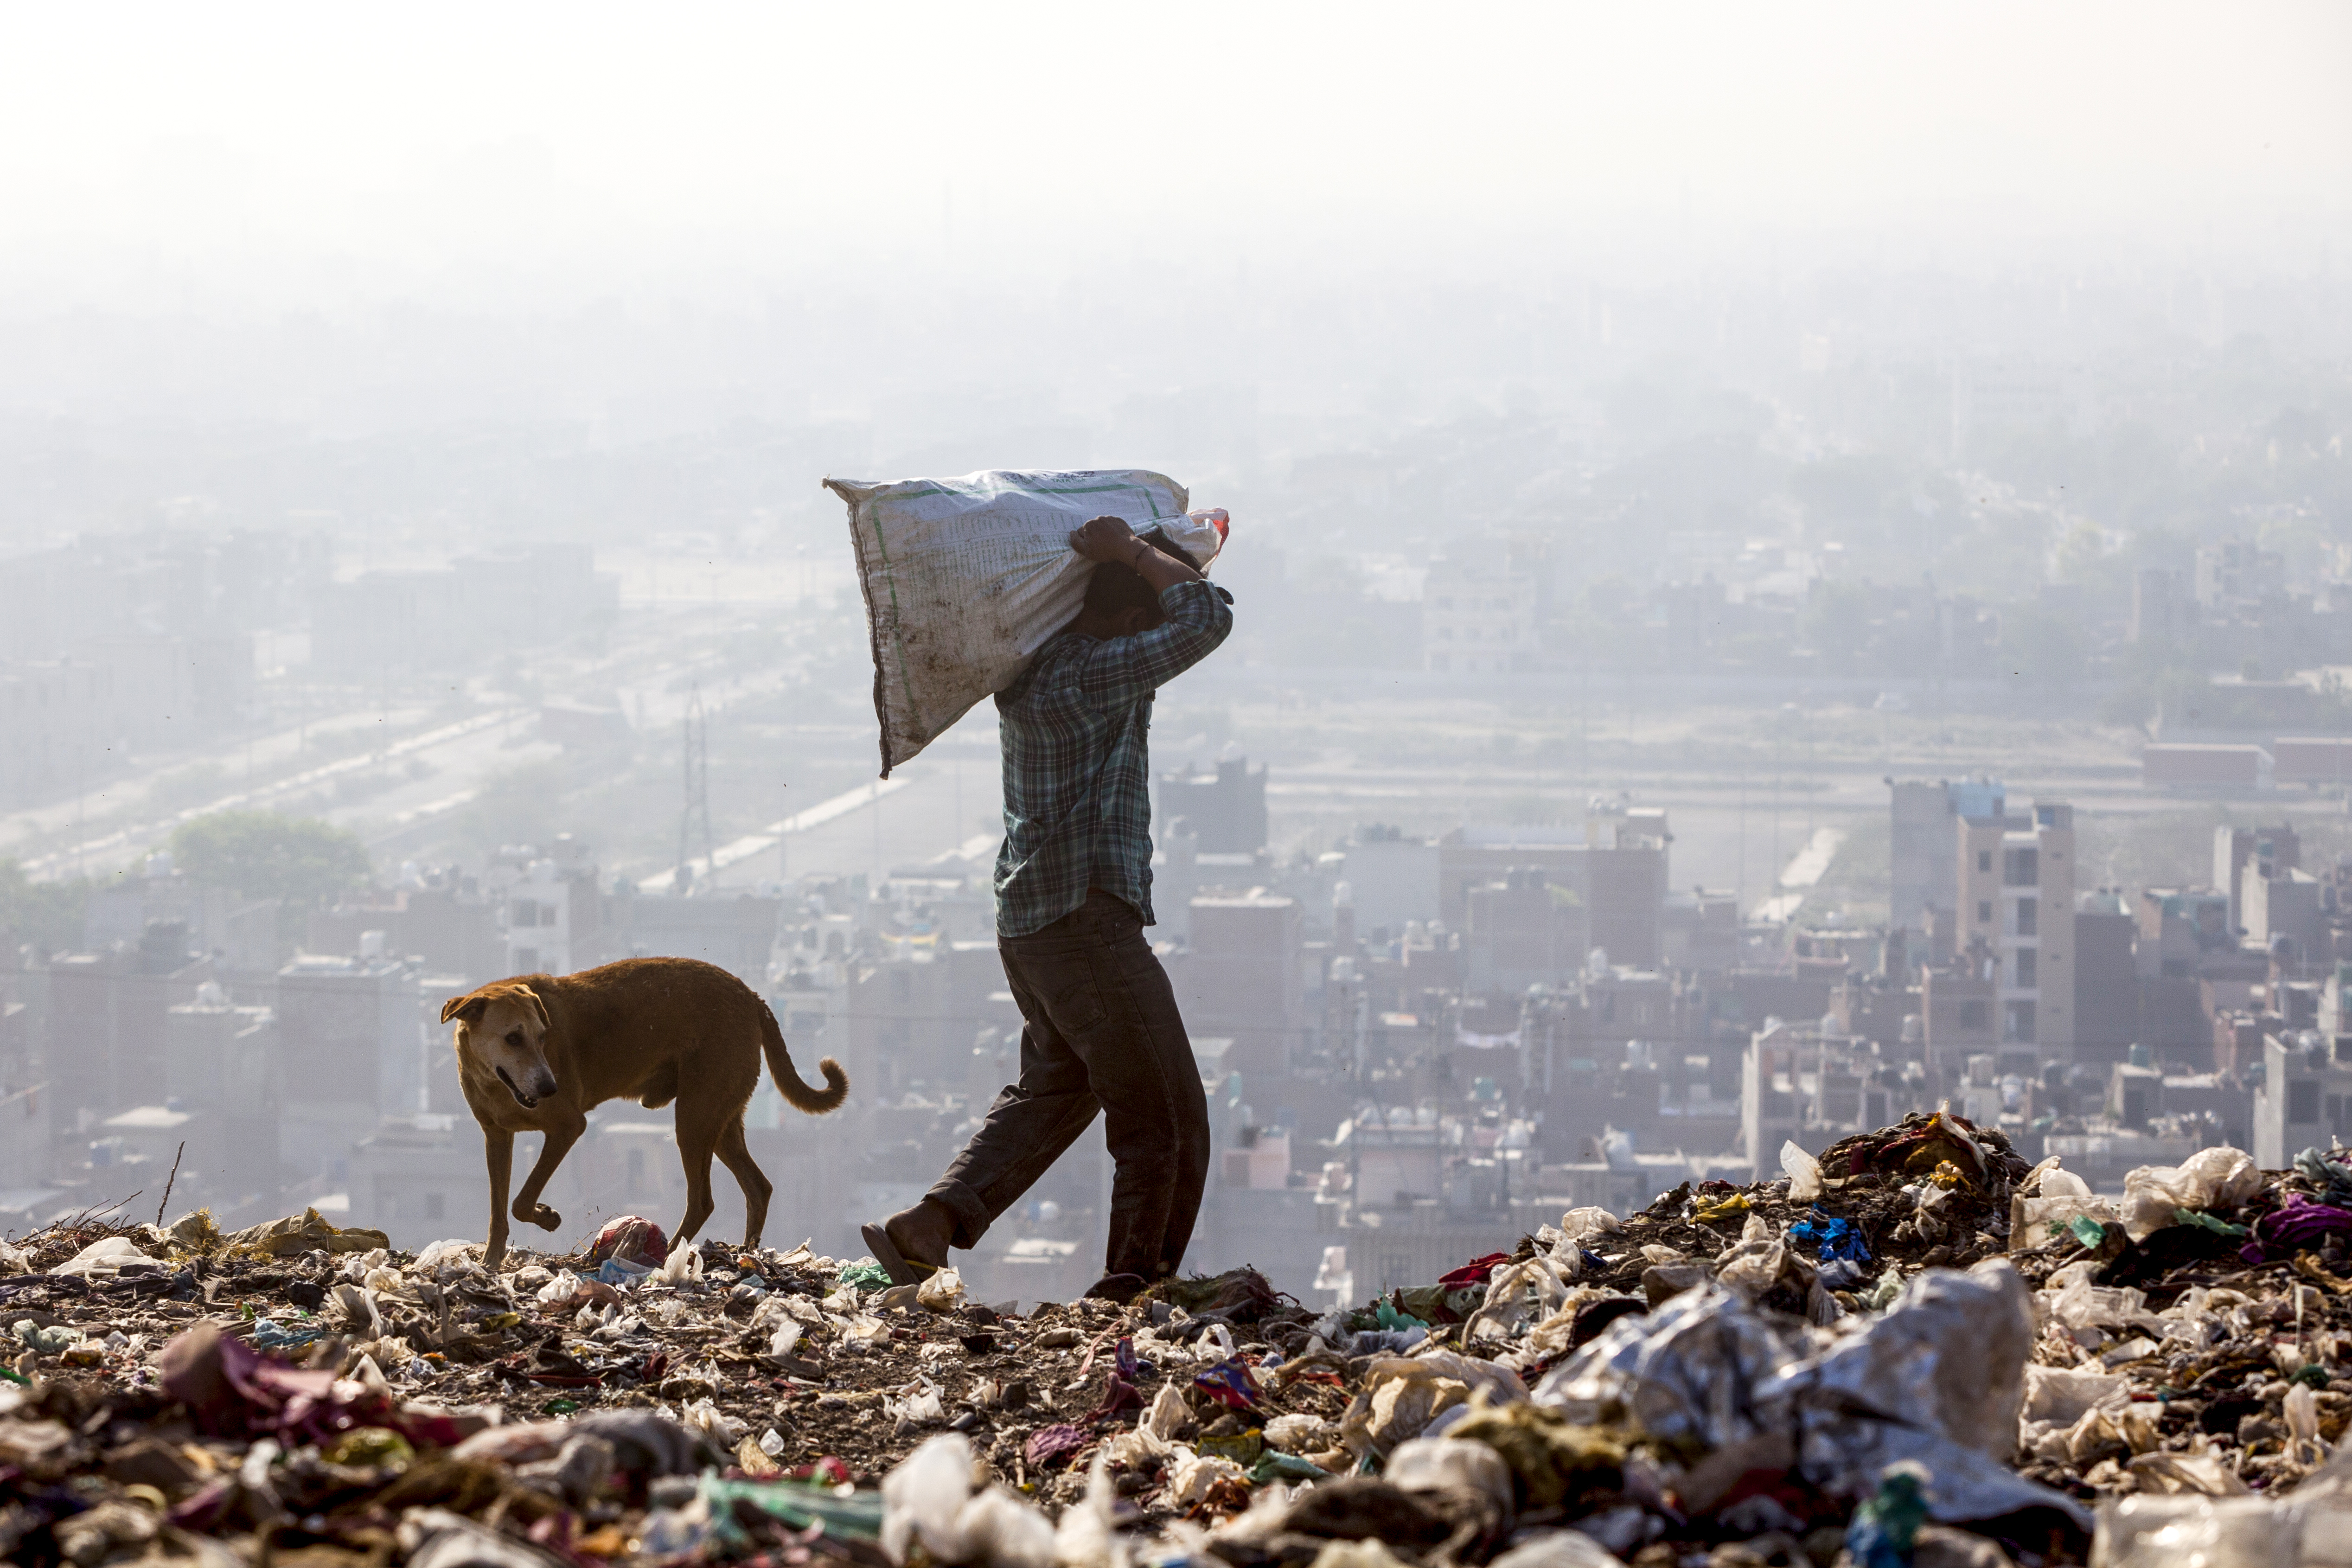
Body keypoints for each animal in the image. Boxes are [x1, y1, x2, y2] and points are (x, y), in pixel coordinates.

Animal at [437, 949, 851, 1269]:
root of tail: (753, 998)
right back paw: (747, 1251)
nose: (549, 1087)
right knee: (758, 1186)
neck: (495, 1082)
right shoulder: (496, 1136)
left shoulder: (569, 1126)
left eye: (542, 1037)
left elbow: (521, 1200)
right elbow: (498, 1209)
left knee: (702, 1200)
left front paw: (547, 1216)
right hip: (721, 1117)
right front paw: (491, 1260)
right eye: (512, 1038)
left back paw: (666, 1254)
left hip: (696, 1116)